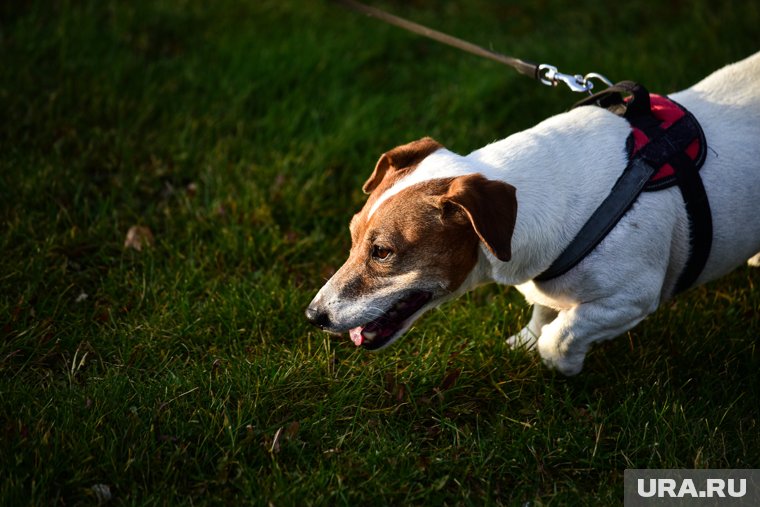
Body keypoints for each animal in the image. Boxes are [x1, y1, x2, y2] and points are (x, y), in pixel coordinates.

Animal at [304, 52, 760, 378]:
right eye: (351, 237)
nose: (312, 316)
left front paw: (564, 365)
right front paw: (525, 341)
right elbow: (544, 314)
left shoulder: (632, 297)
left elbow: (558, 337)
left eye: (382, 251)